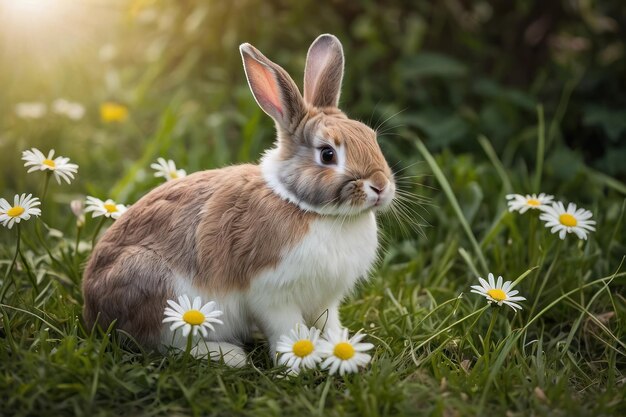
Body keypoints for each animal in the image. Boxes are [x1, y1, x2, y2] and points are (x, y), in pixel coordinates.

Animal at [81, 34, 394, 366]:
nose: (380, 186)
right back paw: (230, 356)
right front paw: (298, 365)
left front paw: (343, 352)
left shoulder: (326, 301)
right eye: (327, 154)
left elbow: (330, 325)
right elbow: (288, 331)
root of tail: (93, 309)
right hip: (160, 293)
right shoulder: (272, 295)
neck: (307, 208)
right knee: (165, 343)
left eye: (371, 137)